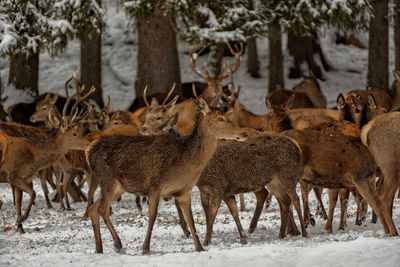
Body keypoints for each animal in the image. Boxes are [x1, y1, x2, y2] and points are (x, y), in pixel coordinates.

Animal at [86, 97, 247, 254]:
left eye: (228, 116)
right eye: (221, 118)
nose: (244, 133)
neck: (185, 162)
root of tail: (90, 151)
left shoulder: (185, 191)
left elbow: (191, 219)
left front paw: (200, 247)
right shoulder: (155, 186)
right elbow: (152, 216)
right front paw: (145, 248)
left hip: (117, 186)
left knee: (94, 209)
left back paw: (99, 248)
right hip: (108, 180)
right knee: (102, 209)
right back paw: (118, 244)